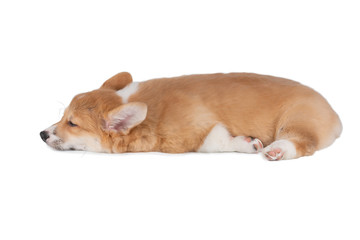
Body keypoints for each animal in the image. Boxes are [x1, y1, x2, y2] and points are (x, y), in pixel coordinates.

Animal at [40, 72, 342, 160]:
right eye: (63, 116)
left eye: (72, 123)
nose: (42, 134)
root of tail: (336, 116)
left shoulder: (200, 130)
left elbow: (217, 142)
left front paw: (247, 143)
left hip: (296, 120)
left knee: (303, 143)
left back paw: (277, 149)